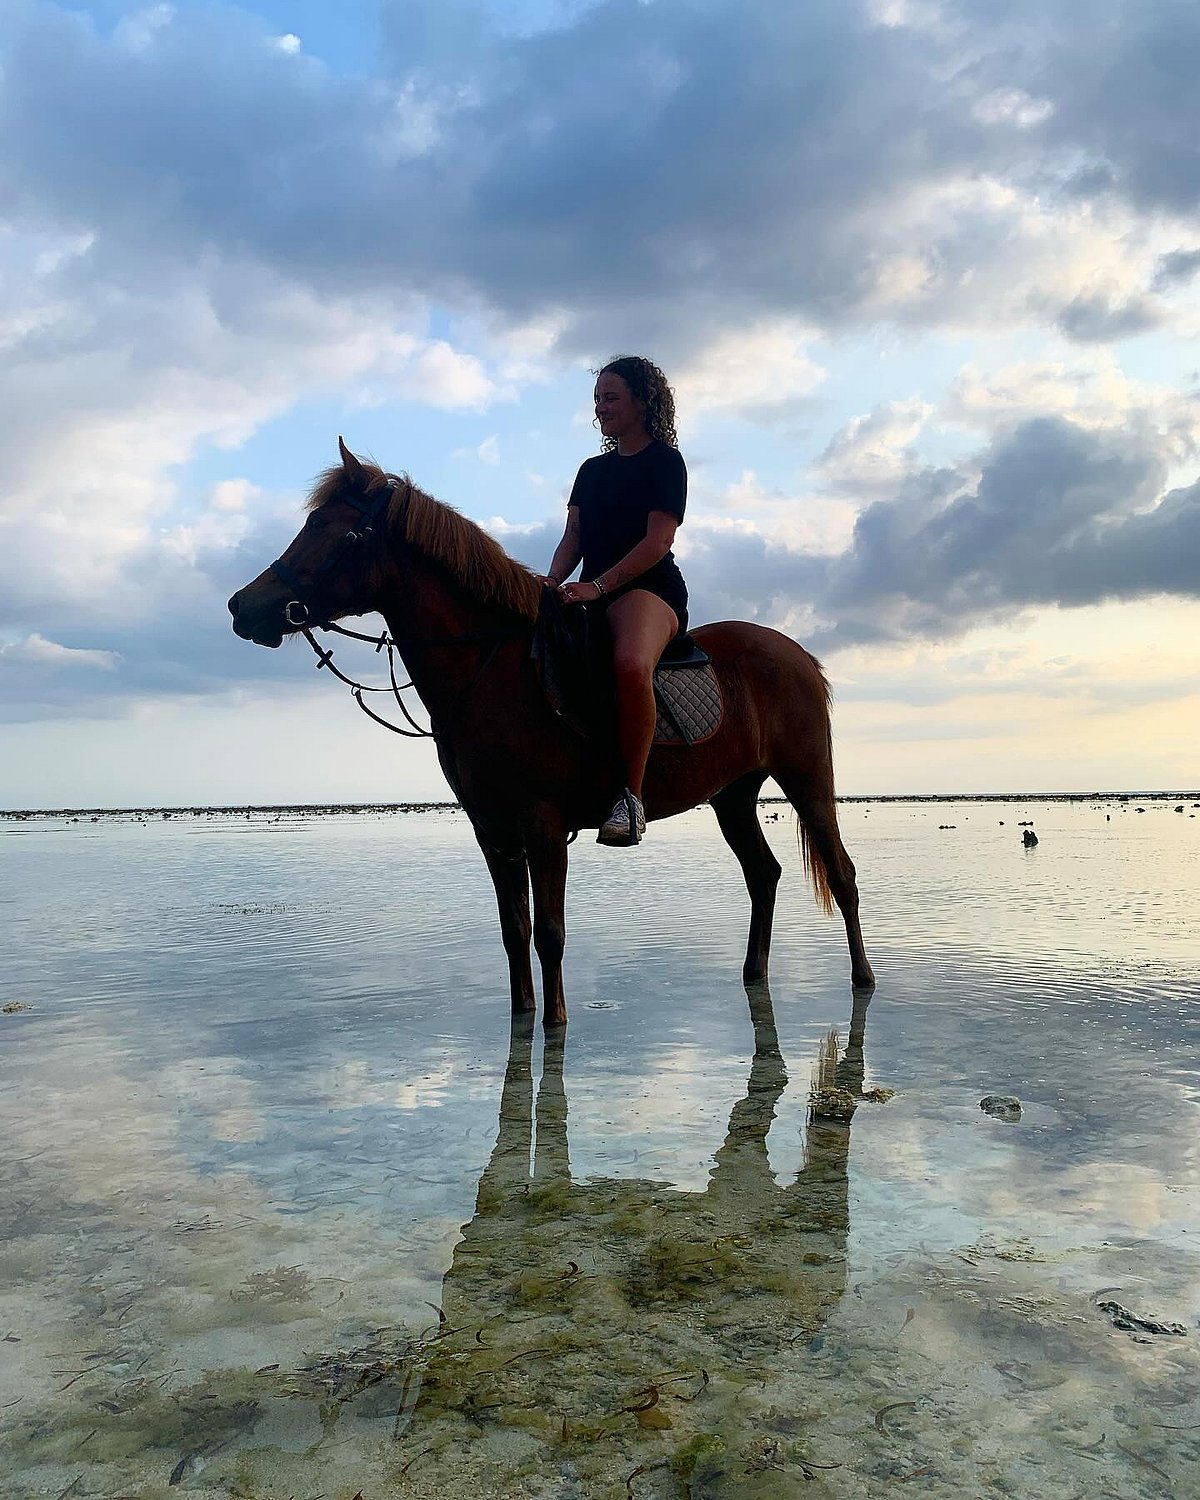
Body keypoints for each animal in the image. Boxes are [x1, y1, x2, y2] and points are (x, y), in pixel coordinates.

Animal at [228, 439, 874, 1026]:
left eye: (323, 527)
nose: (240, 606)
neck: (490, 665)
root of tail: (799, 657)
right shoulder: (491, 826)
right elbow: (514, 933)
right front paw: (522, 1018)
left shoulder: (541, 822)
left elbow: (550, 934)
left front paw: (555, 1027)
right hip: (732, 795)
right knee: (763, 875)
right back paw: (753, 975)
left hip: (807, 780)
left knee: (842, 875)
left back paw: (863, 980)